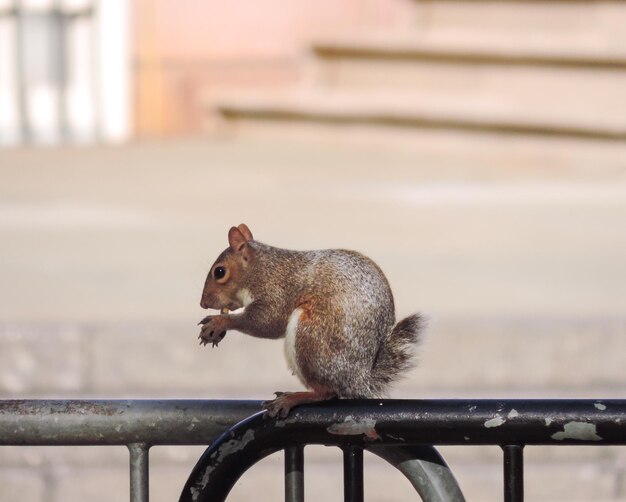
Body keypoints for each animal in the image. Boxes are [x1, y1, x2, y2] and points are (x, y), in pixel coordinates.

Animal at [197, 223, 422, 416]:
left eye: (220, 272)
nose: (203, 303)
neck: (261, 269)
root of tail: (359, 378)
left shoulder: (277, 292)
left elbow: (267, 321)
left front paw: (220, 322)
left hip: (310, 337)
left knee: (328, 392)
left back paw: (294, 398)